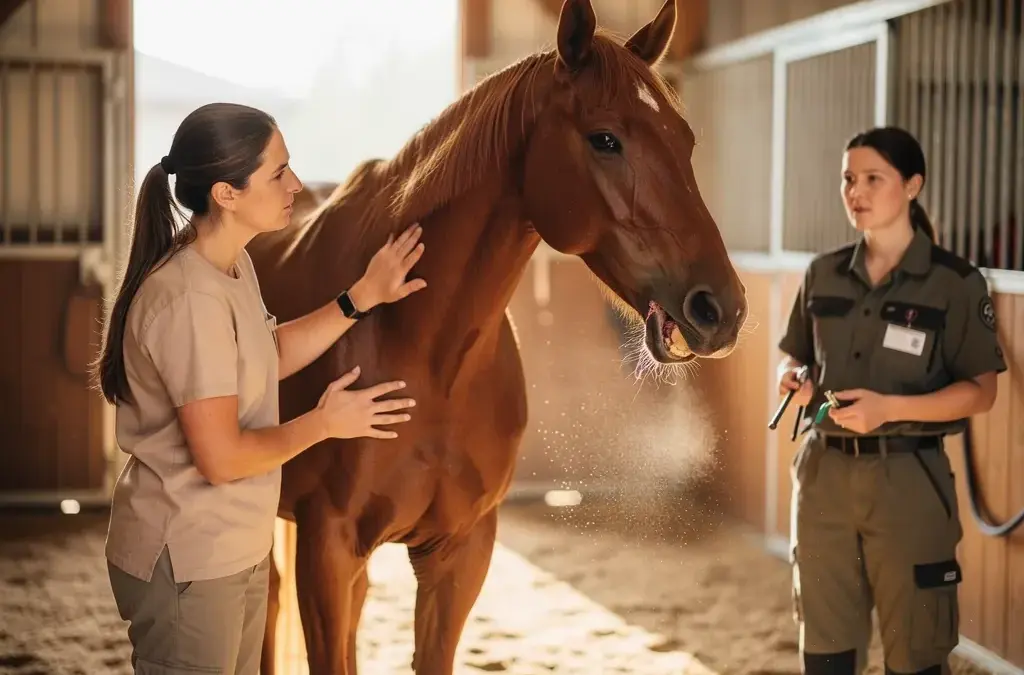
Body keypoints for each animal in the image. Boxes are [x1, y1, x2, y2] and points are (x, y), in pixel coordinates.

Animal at [247, 0, 748, 672]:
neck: (432, 359)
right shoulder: (328, 546)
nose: (722, 308)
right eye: (605, 139)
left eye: (685, 140)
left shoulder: (459, 551)